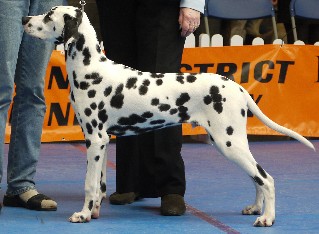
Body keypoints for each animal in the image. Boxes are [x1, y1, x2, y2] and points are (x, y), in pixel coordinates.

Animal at [21, 6, 316, 227]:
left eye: (49, 16)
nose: (25, 20)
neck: (91, 68)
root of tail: (237, 87)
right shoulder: (101, 141)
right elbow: (100, 184)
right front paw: (93, 212)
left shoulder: (95, 139)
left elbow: (89, 185)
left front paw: (82, 215)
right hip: (232, 143)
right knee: (257, 177)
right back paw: (255, 208)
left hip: (229, 143)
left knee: (266, 179)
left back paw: (267, 218)